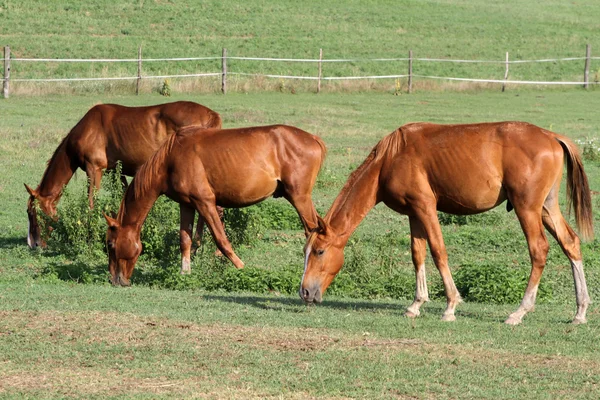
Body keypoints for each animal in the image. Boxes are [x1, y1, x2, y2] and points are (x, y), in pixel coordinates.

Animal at [25, 101, 223, 248]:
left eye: (31, 212)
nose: (33, 244)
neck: (87, 128)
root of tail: (211, 115)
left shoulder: (94, 169)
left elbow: (91, 204)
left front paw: (91, 236)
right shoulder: (114, 171)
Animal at [104, 123, 328, 286]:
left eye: (110, 244)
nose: (114, 280)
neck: (171, 158)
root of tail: (313, 139)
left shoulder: (205, 203)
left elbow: (221, 239)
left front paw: (241, 267)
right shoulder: (186, 205)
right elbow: (185, 240)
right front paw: (185, 272)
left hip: (299, 198)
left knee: (311, 231)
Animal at [302, 122, 592, 324]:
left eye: (319, 251)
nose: (304, 292)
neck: (390, 159)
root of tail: (552, 137)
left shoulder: (426, 208)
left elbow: (438, 251)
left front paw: (450, 306)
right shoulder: (414, 214)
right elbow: (417, 255)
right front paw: (416, 304)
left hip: (527, 209)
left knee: (539, 250)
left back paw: (519, 311)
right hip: (546, 208)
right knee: (571, 244)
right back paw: (580, 311)